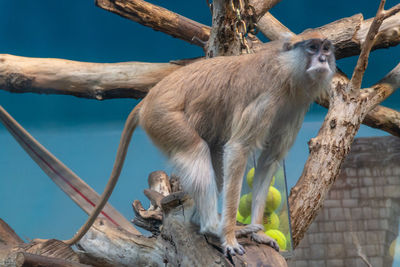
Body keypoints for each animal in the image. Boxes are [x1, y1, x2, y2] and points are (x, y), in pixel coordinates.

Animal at [65, 31, 334, 258]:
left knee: (214, 155)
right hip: (163, 119)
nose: (323, 59)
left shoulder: (293, 109)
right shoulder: (266, 100)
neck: (287, 72)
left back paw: (198, 220)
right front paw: (229, 237)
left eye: (326, 48)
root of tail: (148, 98)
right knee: (197, 151)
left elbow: (269, 161)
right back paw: (212, 227)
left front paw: (259, 234)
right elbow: (237, 150)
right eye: (312, 47)